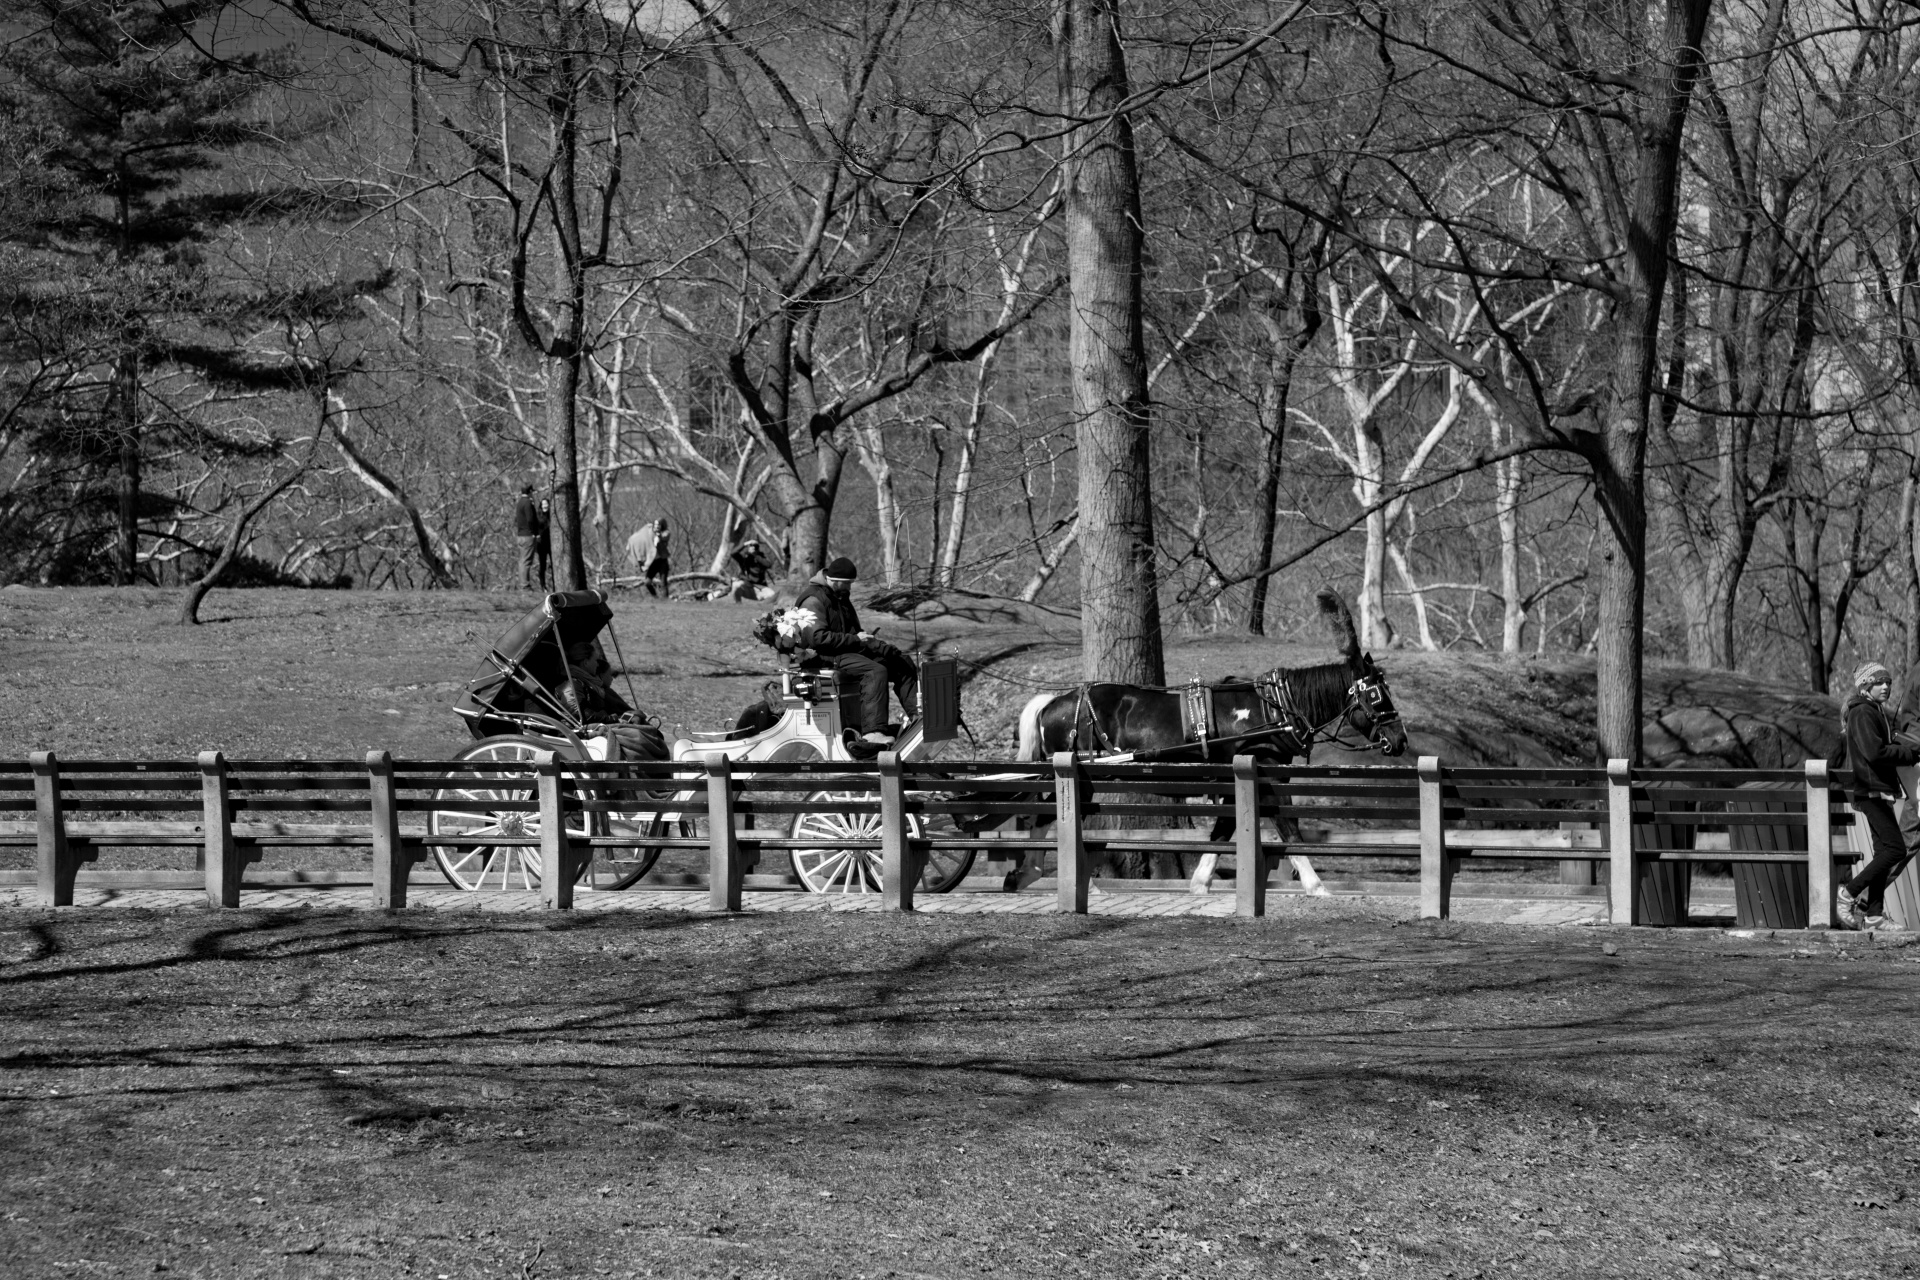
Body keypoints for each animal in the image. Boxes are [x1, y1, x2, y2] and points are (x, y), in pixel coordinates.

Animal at [1006, 587, 1413, 890]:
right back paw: (1038, 873)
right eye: (1378, 695)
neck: (1273, 708)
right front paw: (1317, 886)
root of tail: (1054, 702)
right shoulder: (1266, 772)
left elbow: (1223, 830)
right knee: (1043, 815)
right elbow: (1288, 828)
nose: (1400, 739)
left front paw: (1200, 882)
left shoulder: (1238, 779)